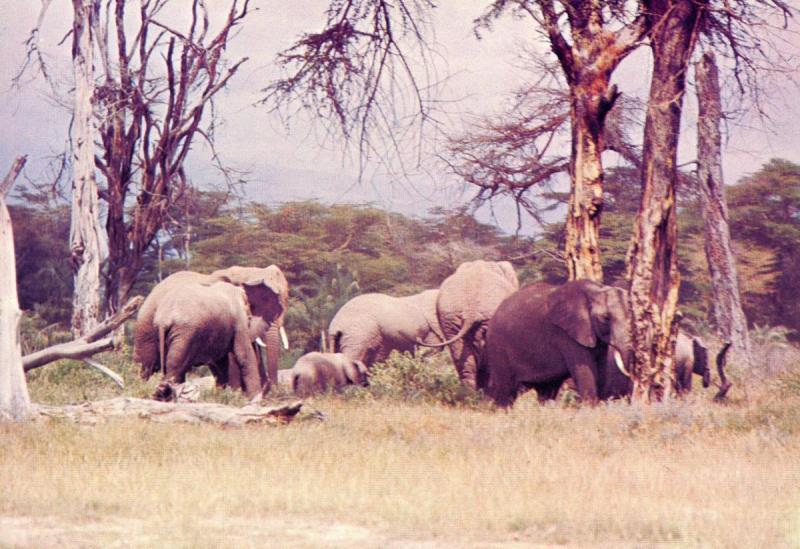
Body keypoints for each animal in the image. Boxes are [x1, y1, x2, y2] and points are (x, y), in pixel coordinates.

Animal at [482, 278, 636, 406]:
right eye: (605, 318)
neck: (596, 290)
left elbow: (601, 369)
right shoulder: (566, 335)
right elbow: (584, 372)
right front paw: (590, 410)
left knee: (546, 390)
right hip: (497, 344)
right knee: (505, 391)